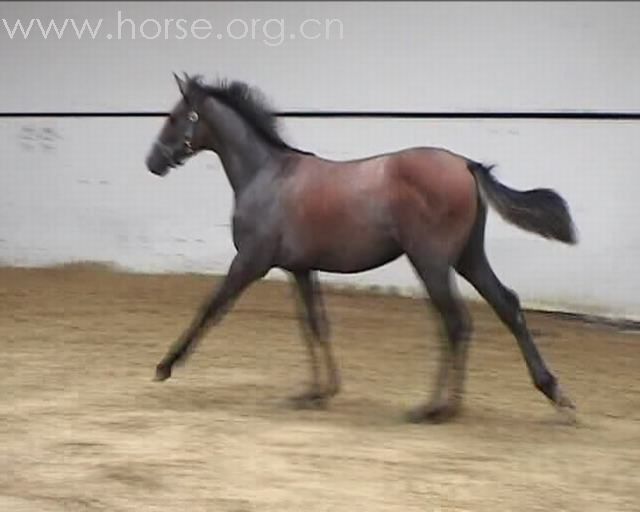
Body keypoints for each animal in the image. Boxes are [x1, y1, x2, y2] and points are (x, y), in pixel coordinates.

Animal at [146, 73, 580, 424]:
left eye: (174, 117)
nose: (153, 162)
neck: (267, 176)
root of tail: (466, 165)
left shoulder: (250, 262)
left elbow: (211, 307)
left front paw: (165, 366)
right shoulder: (301, 268)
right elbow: (315, 324)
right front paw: (318, 392)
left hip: (432, 263)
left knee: (456, 322)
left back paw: (436, 407)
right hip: (468, 259)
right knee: (507, 306)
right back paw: (553, 393)